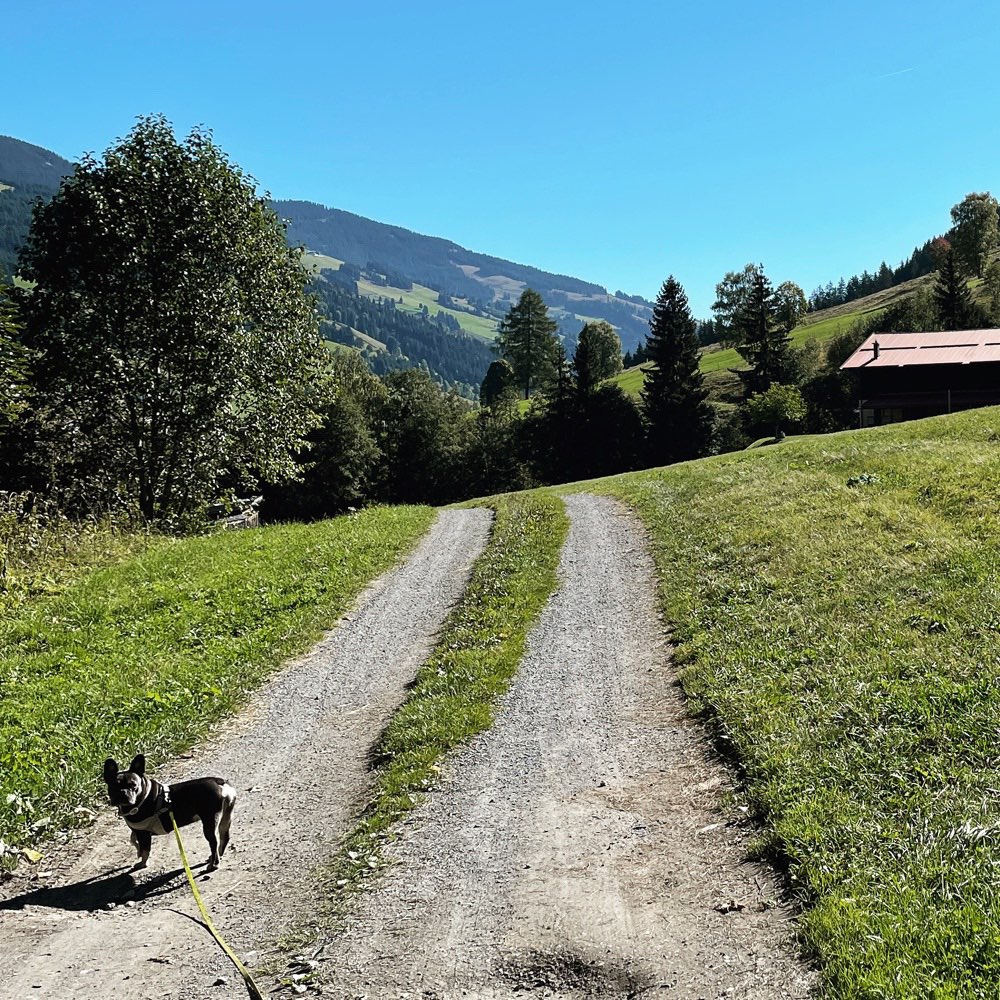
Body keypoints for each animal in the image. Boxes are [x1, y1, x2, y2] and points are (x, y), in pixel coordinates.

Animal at [103, 752, 236, 868]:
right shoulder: (137, 831)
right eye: (113, 786)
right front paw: (138, 852)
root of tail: (220, 783)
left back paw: (213, 864)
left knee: (214, 842)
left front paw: (143, 863)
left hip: (210, 821)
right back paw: (217, 856)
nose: (123, 792)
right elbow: (133, 840)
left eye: (134, 786)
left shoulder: (143, 833)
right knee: (224, 837)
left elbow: (145, 849)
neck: (143, 797)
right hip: (226, 817)